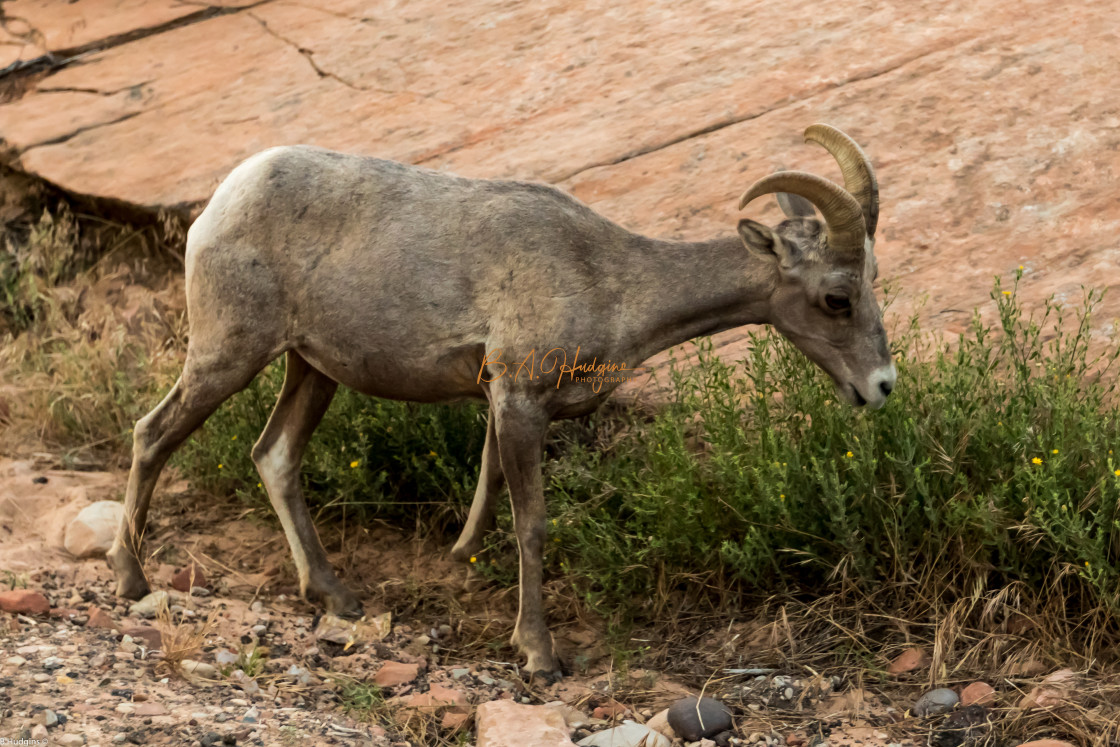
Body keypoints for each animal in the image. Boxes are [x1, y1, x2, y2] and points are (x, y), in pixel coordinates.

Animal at [106, 125, 891, 680]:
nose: (882, 387)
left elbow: (484, 496)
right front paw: (540, 656)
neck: (610, 280)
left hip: (311, 369)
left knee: (273, 456)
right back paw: (131, 579)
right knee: (152, 433)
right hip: (231, 353)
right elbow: (532, 524)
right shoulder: (520, 402)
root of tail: (220, 204)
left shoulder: (500, 404)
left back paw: (336, 597)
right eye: (837, 297)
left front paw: (458, 564)